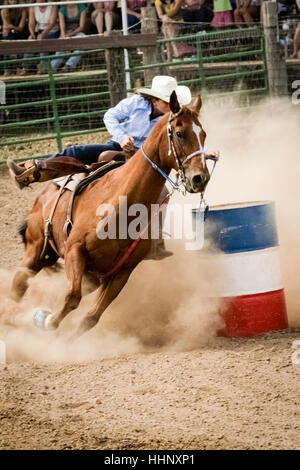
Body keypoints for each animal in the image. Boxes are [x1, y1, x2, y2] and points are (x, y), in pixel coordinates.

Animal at [10, 91, 214, 338]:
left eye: (203, 134)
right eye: (180, 133)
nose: (200, 178)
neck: (120, 204)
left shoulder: (121, 272)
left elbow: (90, 318)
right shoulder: (75, 249)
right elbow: (72, 297)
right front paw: (45, 320)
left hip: (81, 271)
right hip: (37, 247)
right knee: (19, 284)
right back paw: (24, 171)